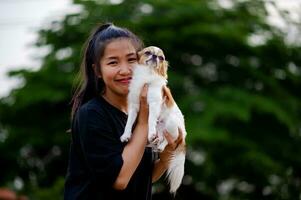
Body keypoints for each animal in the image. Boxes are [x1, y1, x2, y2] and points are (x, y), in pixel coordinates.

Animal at [119, 45, 185, 194]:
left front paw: (150, 133)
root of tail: (184, 136)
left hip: (171, 124)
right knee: (159, 137)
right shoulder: (134, 106)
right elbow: (129, 123)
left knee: (167, 139)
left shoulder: (154, 105)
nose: (155, 57)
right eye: (148, 52)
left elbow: (150, 121)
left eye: (161, 58)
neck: (147, 74)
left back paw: (159, 144)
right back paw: (151, 142)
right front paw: (126, 135)